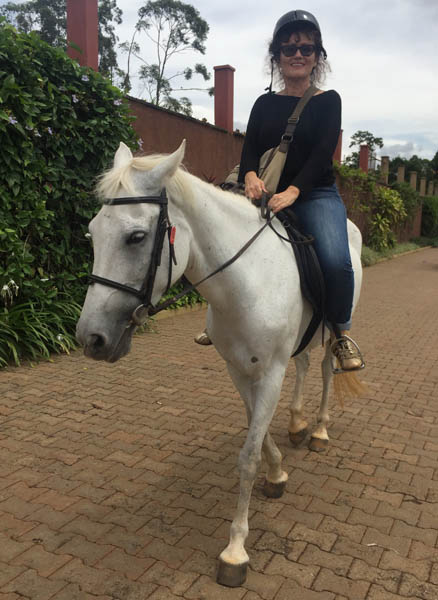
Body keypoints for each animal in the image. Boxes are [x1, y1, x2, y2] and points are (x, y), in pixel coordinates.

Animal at [76, 141, 362, 584]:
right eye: (92, 233)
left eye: (136, 237)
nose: (91, 338)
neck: (247, 281)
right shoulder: (240, 370)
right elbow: (256, 432)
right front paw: (277, 471)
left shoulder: (270, 373)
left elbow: (247, 458)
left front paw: (235, 551)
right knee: (304, 365)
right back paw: (298, 424)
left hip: (334, 328)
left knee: (327, 370)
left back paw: (318, 430)